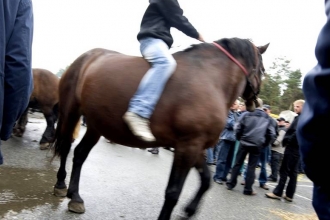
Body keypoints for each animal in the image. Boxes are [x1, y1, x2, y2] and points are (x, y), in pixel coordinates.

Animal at [51, 38, 268, 219]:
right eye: (263, 70)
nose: (255, 102)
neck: (210, 80)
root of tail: (86, 58)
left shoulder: (195, 146)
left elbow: (206, 179)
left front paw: (190, 210)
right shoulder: (187, 146)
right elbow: (173, 192)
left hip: (97, 125)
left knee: (79, 154)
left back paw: (75, 196)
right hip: (70, 112)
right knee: (66, 146)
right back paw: (61, 184)